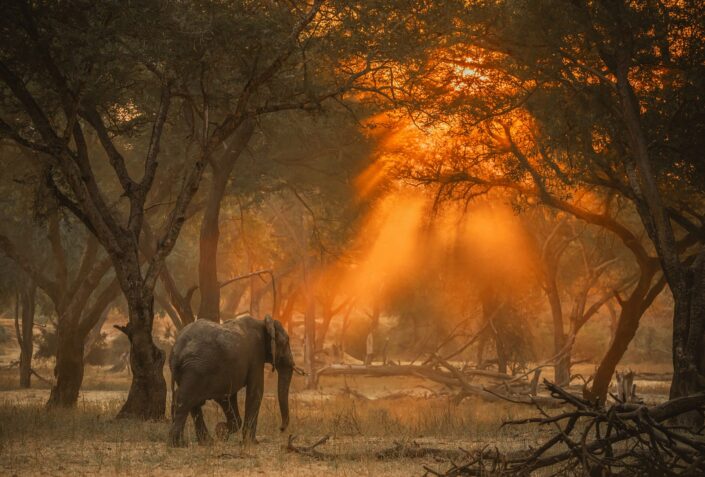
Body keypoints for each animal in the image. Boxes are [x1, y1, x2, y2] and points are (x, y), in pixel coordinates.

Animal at [168, 314, 295, 447]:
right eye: (286, 342)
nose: (281, 428)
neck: (263, 322)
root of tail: (176, 350)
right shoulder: (256, 354)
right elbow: (256, 392)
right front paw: (251, 443)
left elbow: (227, 397)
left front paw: (221, 432)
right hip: (196, 369)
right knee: (185, 399)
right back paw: (177, 444)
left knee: (192, 402)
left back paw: (205, 442)